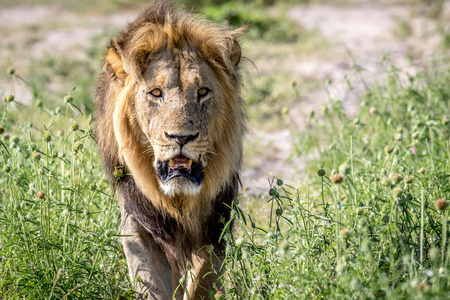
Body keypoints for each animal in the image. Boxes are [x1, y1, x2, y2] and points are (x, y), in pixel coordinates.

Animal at [92, 1, 244, 298]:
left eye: (203, 91)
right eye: (155, 93)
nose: (181, 137)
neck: (179, 201)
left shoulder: (215, 225)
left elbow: (201, 282)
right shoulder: (139, 222)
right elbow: (151, 282)